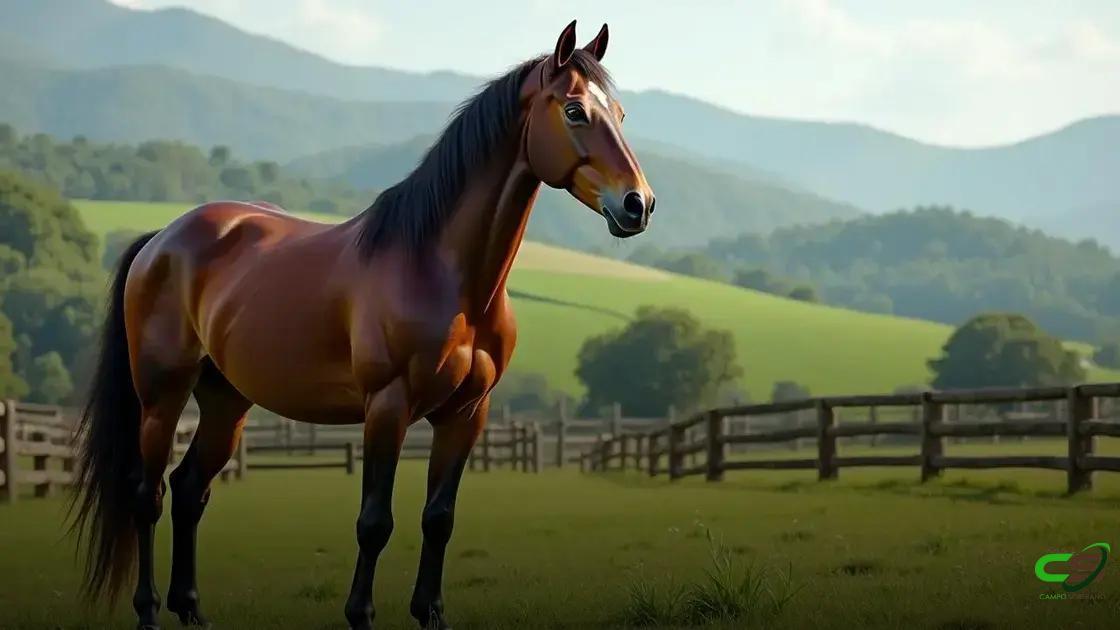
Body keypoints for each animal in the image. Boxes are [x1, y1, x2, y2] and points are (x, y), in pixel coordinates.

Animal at [69, 20, 654, 630]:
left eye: (619, 112)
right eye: (575, 111)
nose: (638, 204)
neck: (443, 270)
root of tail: (162, 238)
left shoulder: (466, 414)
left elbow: (439, 518)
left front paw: (430, 613)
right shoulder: (387, 406)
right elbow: (375, 521)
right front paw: (361, 614)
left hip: (226, 401)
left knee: (189, 491)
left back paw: (192, 610)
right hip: (161, 398)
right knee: (148, 496)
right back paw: (148, 611)